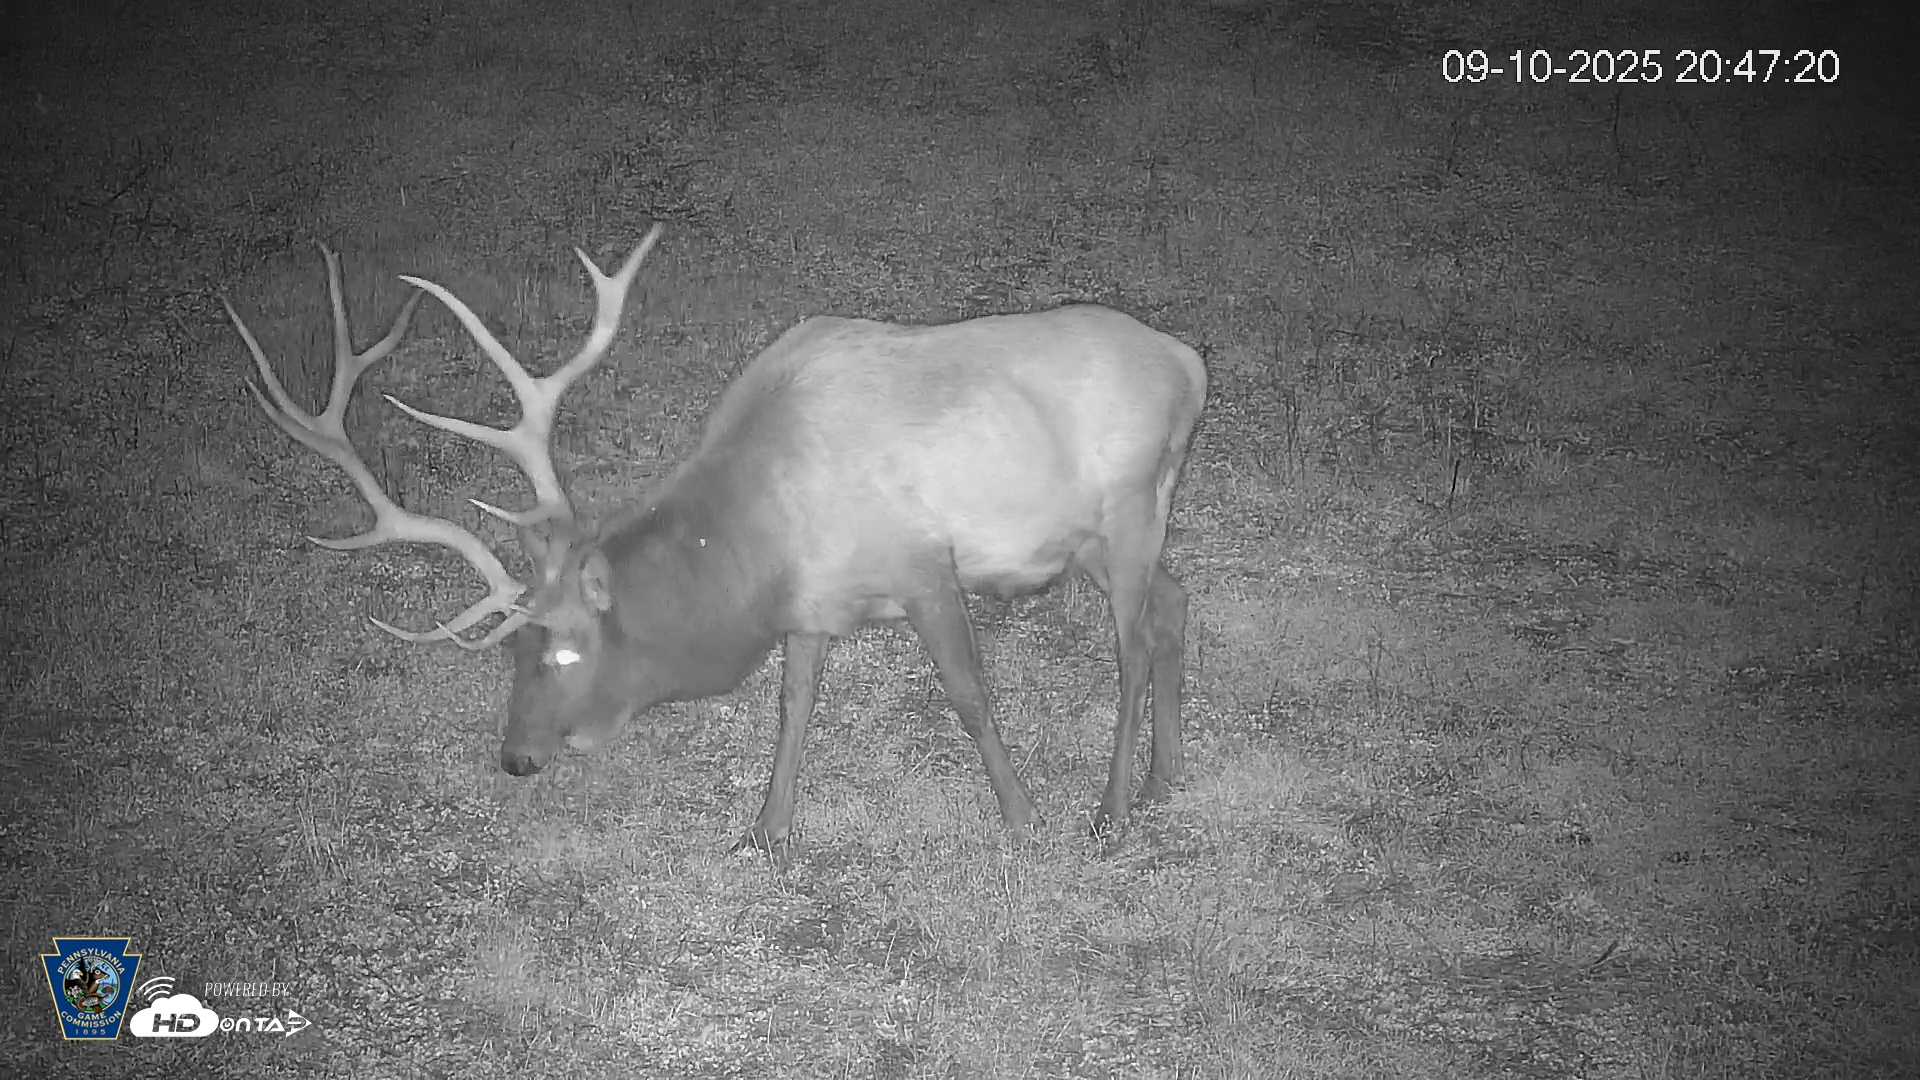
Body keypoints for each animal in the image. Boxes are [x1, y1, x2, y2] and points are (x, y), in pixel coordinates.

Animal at [228, 225, 1206, 849]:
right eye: (512, 650)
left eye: (569, 650)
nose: (516, 758)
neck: (761, 545)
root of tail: (1189, 365)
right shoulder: (816, 604)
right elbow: (794, 701)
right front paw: (767, 832)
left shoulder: (924, 567)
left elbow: (969, 696)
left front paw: (1022, 817)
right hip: (1103, 536)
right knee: (1176, 600)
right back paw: (1166, 777)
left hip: (1126, 510)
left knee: (1129, 645)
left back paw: (1112, 810)